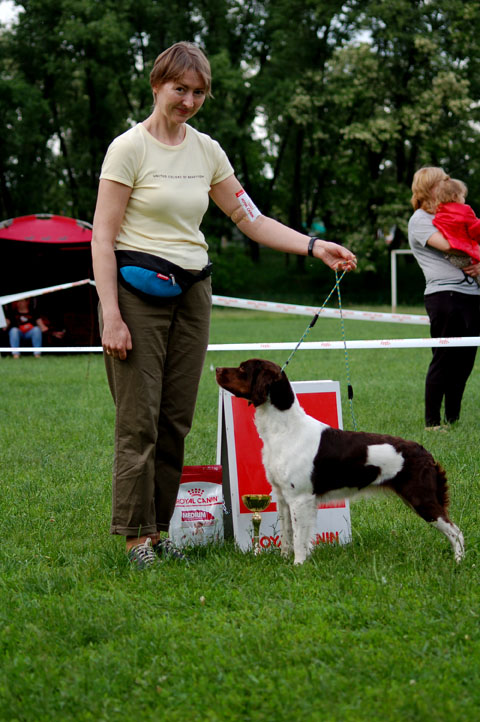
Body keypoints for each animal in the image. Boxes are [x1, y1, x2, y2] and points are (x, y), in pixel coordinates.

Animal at [217, 358, 464, 564]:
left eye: (243, 369)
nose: (217, 369)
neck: (285, 429)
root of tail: (425, 453)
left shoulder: (300, 497)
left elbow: (299, 537)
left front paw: (298, 565)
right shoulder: (283, 496)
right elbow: (287, 534)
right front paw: (285, 559)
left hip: (421, 498)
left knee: (456, 531)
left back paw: (459, 562)